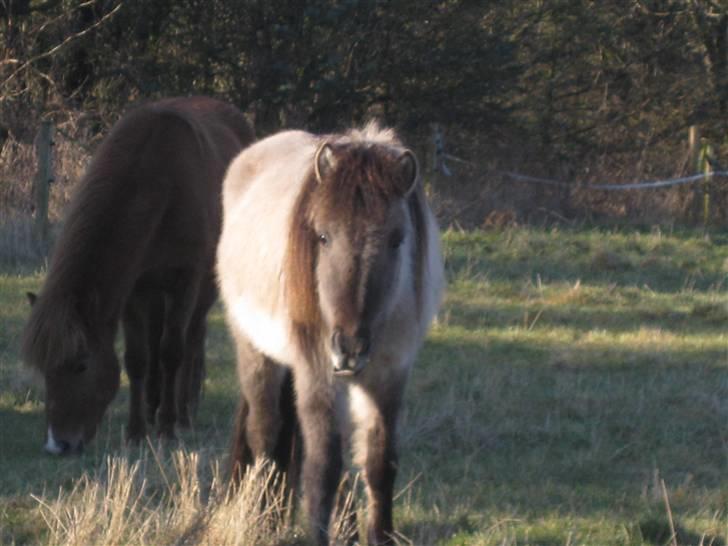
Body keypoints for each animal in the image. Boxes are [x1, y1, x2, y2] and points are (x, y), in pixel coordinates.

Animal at [22, 95, 256, 452]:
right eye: (45, 370)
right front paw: (136, 430)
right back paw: (152, 405)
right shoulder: (134, 288)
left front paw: (167, 427)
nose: (58, 444)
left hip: (201, 288)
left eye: (81, 365)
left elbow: (172, 351)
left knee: (192, 338)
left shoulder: (185, 282)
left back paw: (183, 413)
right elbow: (137, 358)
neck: (160, 183)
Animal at [216, 124, 444, 544]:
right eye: (322, 237)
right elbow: (322, 472)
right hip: (256, 353)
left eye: (397, 239)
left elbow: (379, 464)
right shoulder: (319, 375)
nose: (349, 348)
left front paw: (380, 536)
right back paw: (262, 520)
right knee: (265, 435)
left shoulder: (389, 378)